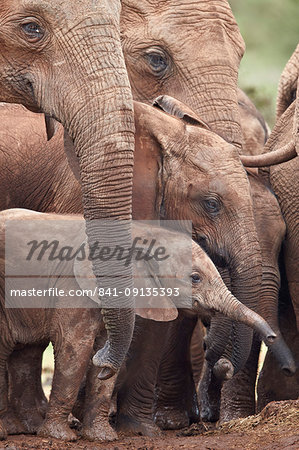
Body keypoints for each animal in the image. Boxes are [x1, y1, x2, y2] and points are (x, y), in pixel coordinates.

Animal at [0, 209, 276, 442]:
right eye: (195, 278)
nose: (272, 337)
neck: (141, 235)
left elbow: (105, 348)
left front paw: (103, 437)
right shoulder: (74, 288)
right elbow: (75, 351)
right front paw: (61, 437)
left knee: (26, 353)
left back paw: (27, 427)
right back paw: (12, 430)